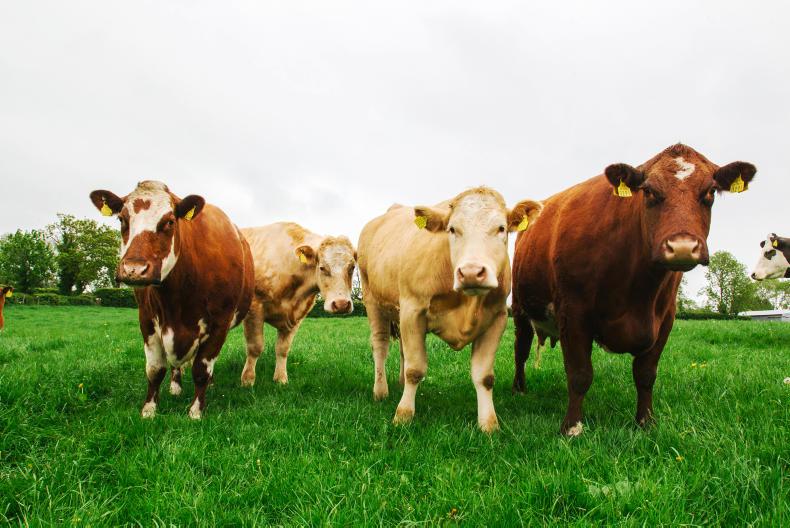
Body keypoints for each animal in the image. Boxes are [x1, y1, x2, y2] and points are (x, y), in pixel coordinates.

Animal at [89, 181, 254, 419]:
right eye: (122, 219)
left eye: (169, 221)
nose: (134, 269)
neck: (177, 297)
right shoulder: (147, 320)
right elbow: (155, 369)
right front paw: (149, 409)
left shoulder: (220, 323)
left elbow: (201, 369)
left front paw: (195, 411)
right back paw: (175, 386)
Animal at [240, 222, 357, 386]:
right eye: (322, 267)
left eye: (352, 267)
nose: (341, 304)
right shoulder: (254, 308)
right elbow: (255, 347)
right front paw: (247, 381)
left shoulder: (297, 316)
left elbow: (283, 349)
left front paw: (281, 379)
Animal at [358, 187, 542, 432]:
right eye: (452, 229)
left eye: (501, 228)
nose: (472, 272)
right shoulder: (412, 310)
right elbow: (415, 370)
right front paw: (403, 415)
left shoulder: (498, 317)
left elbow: (484, 376)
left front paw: (489, 424)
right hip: (372, 301)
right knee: (380, 345)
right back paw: (381, 391)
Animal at [512, 144, 756, 436]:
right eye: (648, 191)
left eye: (710, 192)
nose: (682, 247)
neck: (637, 288)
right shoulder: (573, 312)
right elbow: (580, 374)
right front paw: (571, 427)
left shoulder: (665, 317)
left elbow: (646, 374)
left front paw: (645, 421)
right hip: (520, 309)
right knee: (521, 350)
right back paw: (519, 388)